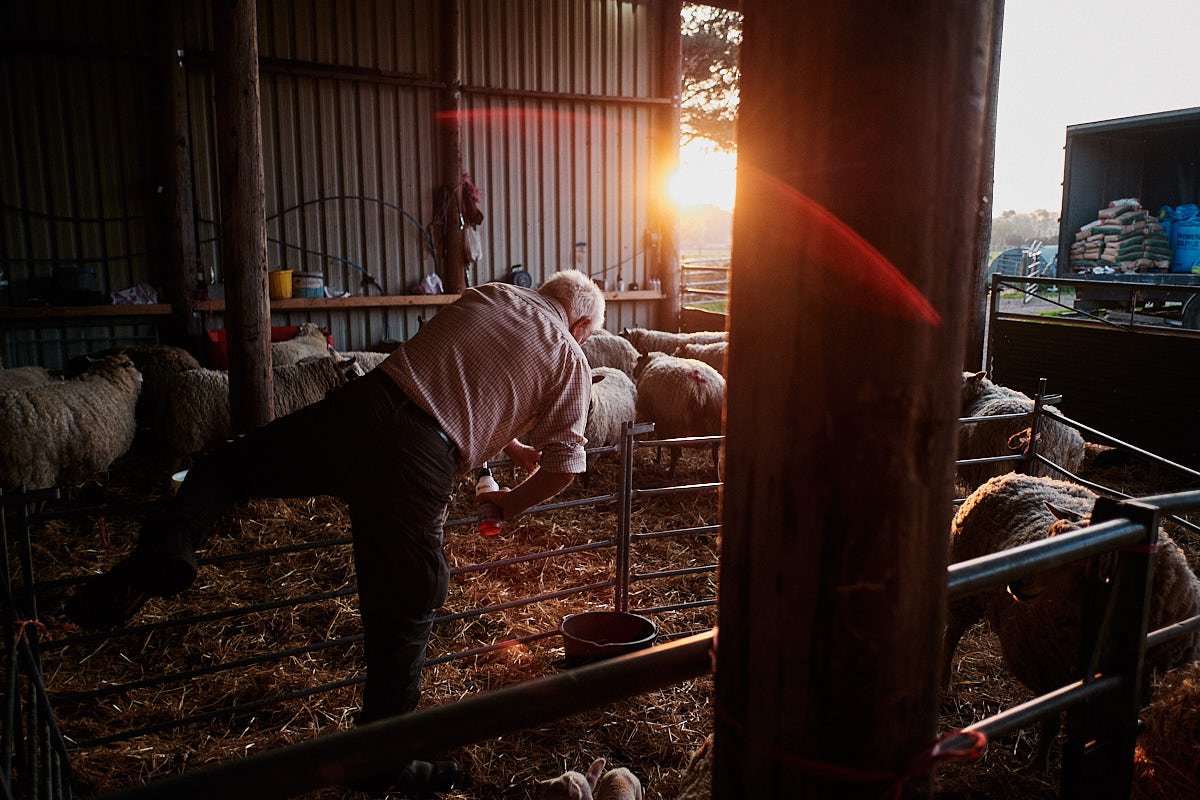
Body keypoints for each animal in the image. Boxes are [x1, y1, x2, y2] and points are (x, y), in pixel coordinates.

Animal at [945, 474, 1200, 767]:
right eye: (1049, 536)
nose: (1015, 582)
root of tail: (1010, 476)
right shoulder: (1048, 673)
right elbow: (1051, 723)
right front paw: (1038, 764)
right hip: (967, 594)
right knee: (951, 635)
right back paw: (945, 680)